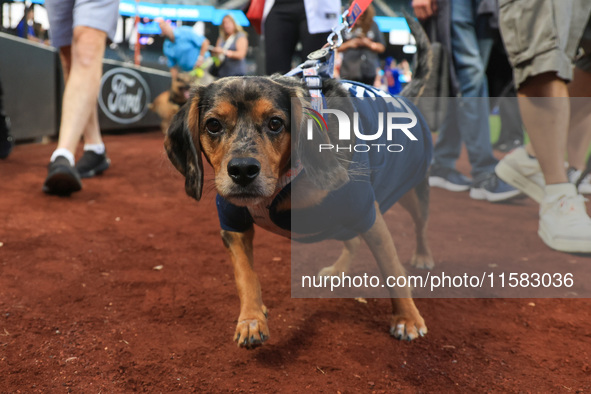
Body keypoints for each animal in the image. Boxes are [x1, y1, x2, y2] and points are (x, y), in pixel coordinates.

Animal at [164, 16, 432, 348]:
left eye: (275, 123)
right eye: (213, 125)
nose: (242, 170)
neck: (284, 182)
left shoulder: (366, 211)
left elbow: (392, 269)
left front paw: (407, 318)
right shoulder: (233, 223)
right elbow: (245, 276)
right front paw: (252, 319)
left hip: (412, 191)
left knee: (419, 226)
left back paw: (422, 255)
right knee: (352, 239)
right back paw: (339, 269)